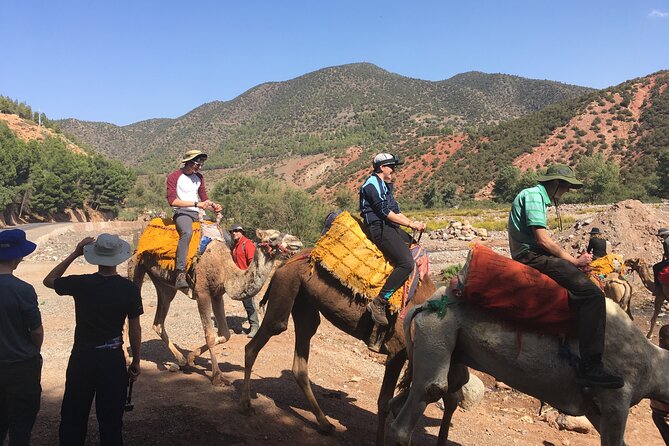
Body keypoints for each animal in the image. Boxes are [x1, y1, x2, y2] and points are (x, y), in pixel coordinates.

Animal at [127, 229, 302, 385]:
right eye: (273, 237)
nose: (297, 242)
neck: (226, 270)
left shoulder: (217, 295)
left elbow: (225, 334)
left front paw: (191, 358)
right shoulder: (202, 293)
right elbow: (210, 336)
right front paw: (217, 377)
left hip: (165, 286)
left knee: (158, 323)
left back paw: (181, 360)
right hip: (136, 266)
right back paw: (128, 358)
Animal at [239, 250, 437, 446]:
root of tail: (284, 263)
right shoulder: (397, 351)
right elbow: (384, 402)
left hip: (305, 304)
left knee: (300, 361)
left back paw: (325, 424)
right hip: (286, 288)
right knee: (257, 343)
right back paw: (246, 405)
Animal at [388, 292, 669, 446]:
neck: (653, 366)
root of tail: (423, 305)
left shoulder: (593, 406)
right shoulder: (616, 401)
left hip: (450, 345)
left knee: (428, 392)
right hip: (437, 329)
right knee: (427, 396)